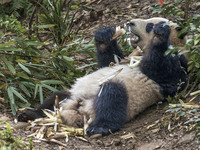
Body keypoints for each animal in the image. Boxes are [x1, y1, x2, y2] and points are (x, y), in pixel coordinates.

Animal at [17, 20, 188, 136]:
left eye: (149, 25)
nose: (130, 23)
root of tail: (78, 110)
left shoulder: (176, 65)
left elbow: (163, 73)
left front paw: (160, 34)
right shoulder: (125, 58)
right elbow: (110, 60)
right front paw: (105, 35)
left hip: (128, 97)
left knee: (112, 96)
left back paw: (100, 127)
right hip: (72, 95)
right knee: (56, 97)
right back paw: (30, 114)